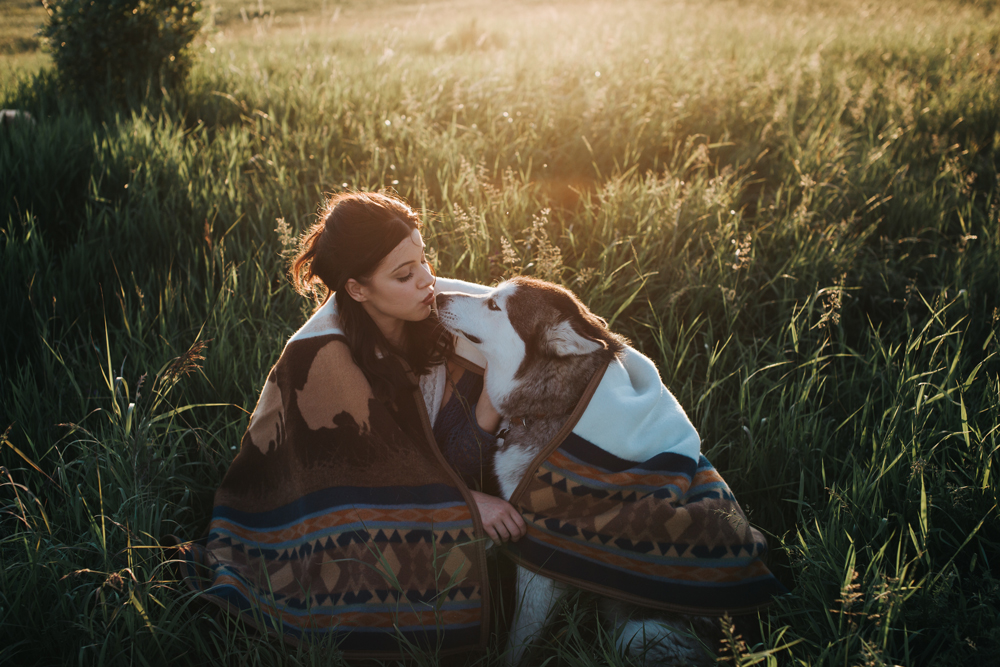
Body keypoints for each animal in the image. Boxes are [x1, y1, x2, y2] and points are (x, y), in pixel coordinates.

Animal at [434, 276, 716, 664]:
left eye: (494, 306)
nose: (438, 296)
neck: (559, 408)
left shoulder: (540, 554)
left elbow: (520, 636)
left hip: (637, 635)